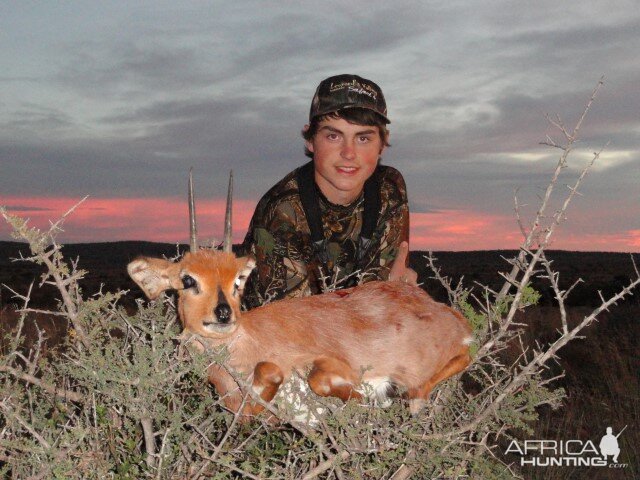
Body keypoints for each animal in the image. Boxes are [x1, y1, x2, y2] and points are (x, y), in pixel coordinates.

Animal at [127, 172, 472, 416]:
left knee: (463, 355)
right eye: (187, 280)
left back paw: (413, 398)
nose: (224, 313)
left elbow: (314, 379)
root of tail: (443, 311)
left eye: (238, 280)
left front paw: (372, 398)